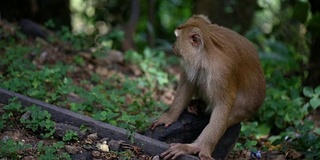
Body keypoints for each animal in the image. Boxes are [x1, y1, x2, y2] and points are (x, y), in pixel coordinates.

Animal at [151, 14, 266, 159]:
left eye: (177, 38)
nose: (173, 46)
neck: (206, 54)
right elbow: (187, 83)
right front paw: (170, 116)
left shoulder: (222, 72)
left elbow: (223, 104)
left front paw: (198, 148)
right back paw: (198, 103)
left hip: (243, 113)